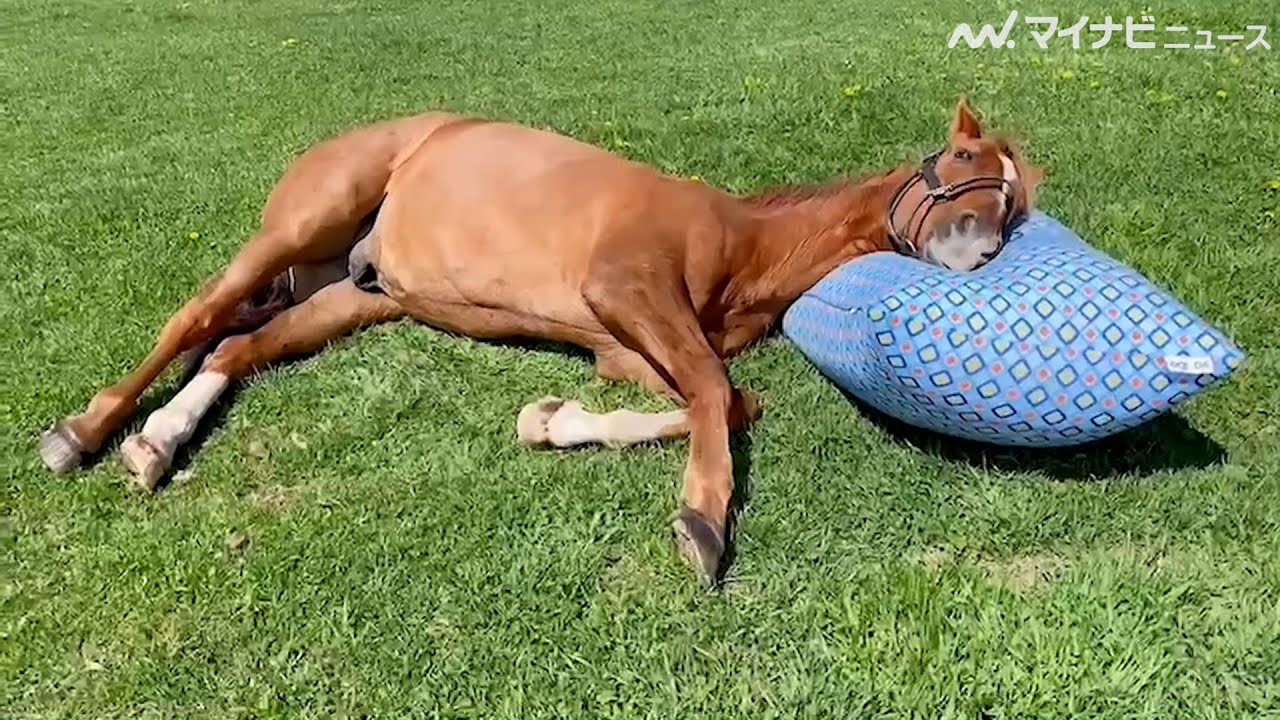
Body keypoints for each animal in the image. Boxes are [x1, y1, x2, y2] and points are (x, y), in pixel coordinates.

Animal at [38, 98, 1042, 586]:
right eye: (961, 162)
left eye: (1017, 201)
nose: (981, 252)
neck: (739, 242)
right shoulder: (628, 292)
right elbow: (720, 397)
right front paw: (702, 523)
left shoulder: (627, 347)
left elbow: (722, 397)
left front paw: (551, 421)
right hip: (298, 227)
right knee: (195, 316)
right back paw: (84, 433)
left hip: (356, 298)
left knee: (235, 348)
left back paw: (158, 442)